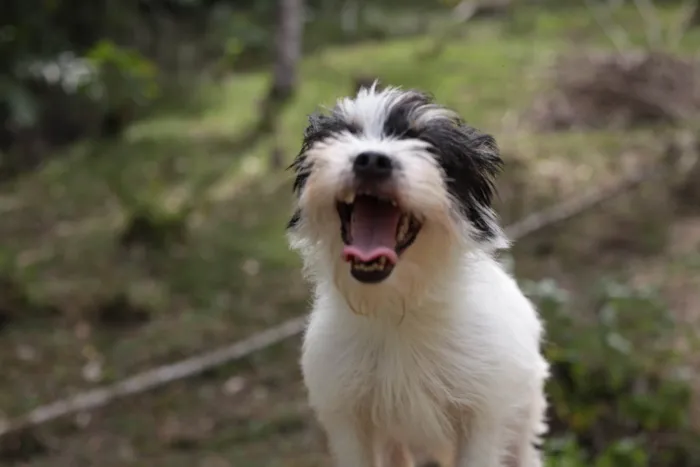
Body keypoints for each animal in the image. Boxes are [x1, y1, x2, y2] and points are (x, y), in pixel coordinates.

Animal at [288, 84, 548, 467]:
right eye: (345, 134)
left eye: (425, 142)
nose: (371, 160)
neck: (398, 309)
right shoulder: (348, 419)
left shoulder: (483, 419)